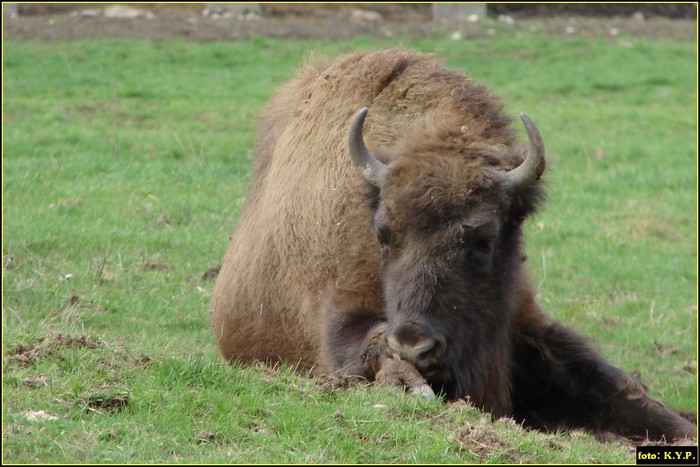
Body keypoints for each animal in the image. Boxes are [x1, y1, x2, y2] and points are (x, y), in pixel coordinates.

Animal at [211, 48, 696, 442]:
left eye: (484, 239)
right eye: (383, 233)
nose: (417, 345)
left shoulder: (525, 322)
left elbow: (616, 388)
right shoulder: (338, 316)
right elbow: (372, 344)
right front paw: (410, 385)